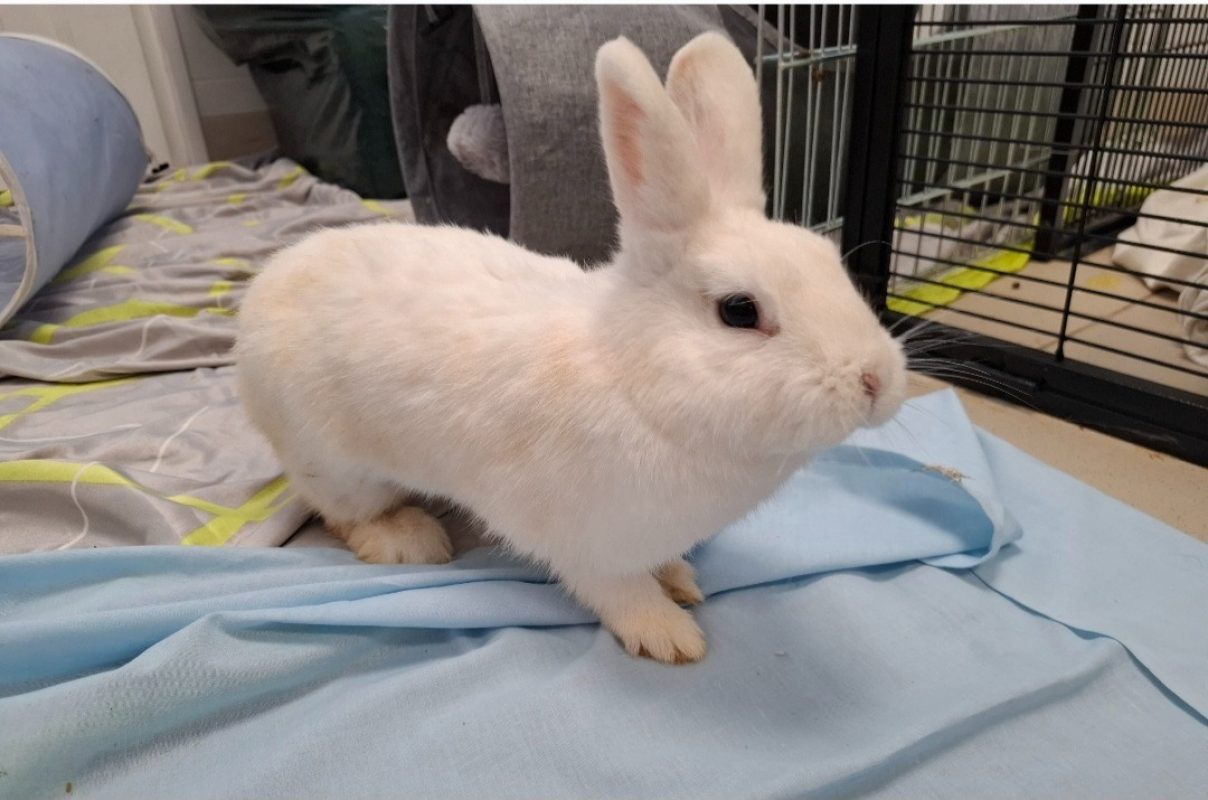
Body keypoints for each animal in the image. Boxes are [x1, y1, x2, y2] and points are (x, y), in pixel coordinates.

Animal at [236, 31, 907, 665]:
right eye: (739, 311)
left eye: (828, 262)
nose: (878, 382)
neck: (638, 386)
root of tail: (262, 290)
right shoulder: (584, 544)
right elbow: (617, 592)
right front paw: (669, 635)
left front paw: (680, 580)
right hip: (337, 465)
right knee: (342, 514)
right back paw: (408, 539)